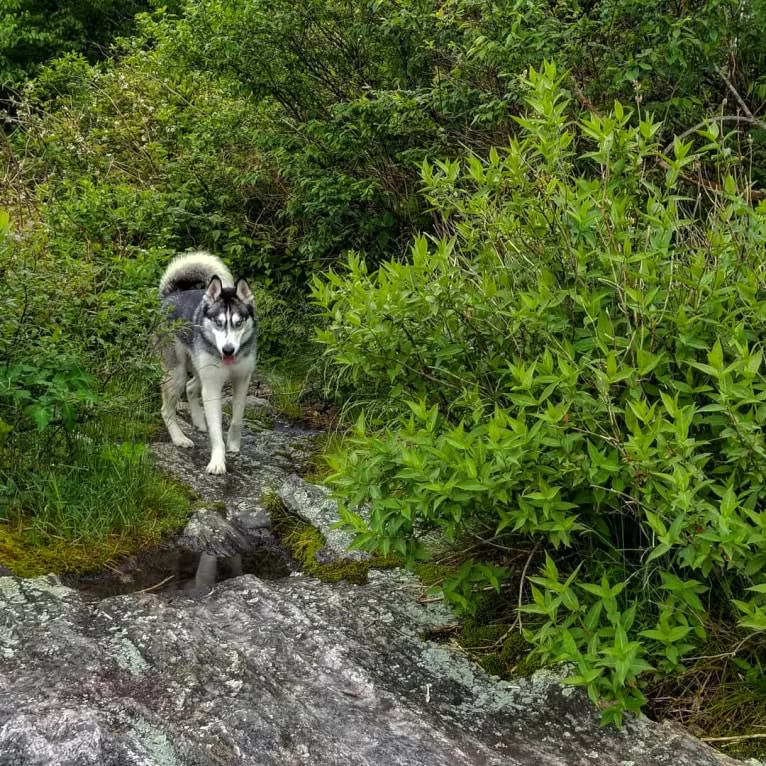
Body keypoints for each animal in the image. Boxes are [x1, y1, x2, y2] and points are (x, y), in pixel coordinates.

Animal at [159, 254, 258, 474]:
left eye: (239, 323)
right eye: (218, 323)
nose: (228, 350)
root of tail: (171, 295)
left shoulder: (242, 380)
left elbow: (237, 418)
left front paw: (233, 445)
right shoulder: (212, 386)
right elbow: (216, 430)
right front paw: (217, 461)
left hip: (197, 368)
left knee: (191, 387)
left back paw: (198, 422)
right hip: (176, 374)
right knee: (167, 409)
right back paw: (179, 438)